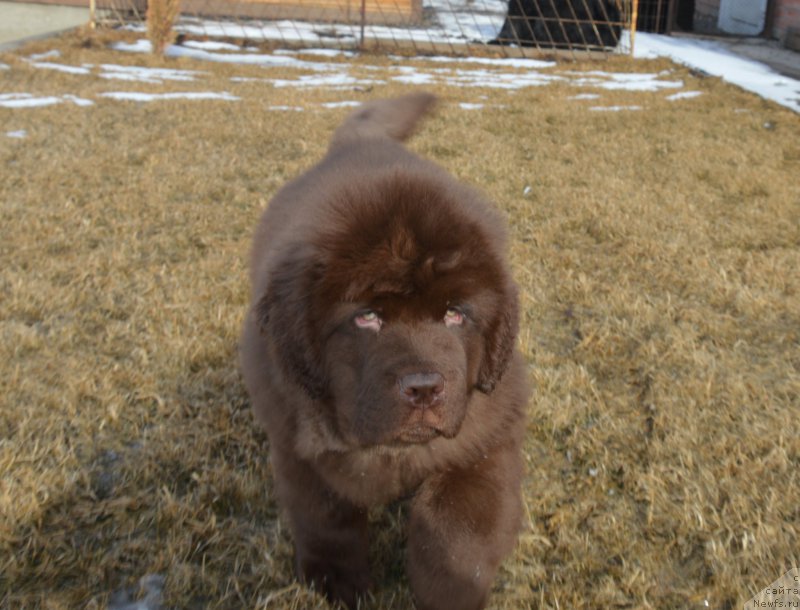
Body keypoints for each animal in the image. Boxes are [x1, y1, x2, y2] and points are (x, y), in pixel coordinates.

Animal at [241, 91, 528, 608]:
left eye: (456, 314)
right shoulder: (300, 449)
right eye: (366, 317)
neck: (391, 452)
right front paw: (338, 583)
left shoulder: (487, 443)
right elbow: (326, 520)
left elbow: (455, 528)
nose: (424, 388)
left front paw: (447, 591)